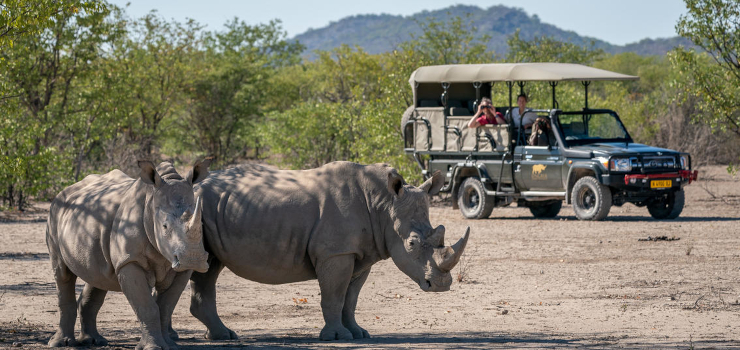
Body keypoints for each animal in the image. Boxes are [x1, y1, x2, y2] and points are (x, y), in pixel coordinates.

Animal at [45, 160, 211, 348]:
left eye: (201, 224)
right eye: (165, 226)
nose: (192, 259)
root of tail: (65, 190)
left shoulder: (181, 269)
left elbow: (166, 306)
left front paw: (170, 346)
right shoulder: (130, 261)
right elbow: (147, 307)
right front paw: (152, 347)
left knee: (98, 276)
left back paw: (94, 341)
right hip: (54, 213)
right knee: (63, 274)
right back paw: (60, 343)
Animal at [188, 163, 472, 340]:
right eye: (411, 244)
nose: (441, 285)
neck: (383, 205)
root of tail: (192, 185)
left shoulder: (359, 254)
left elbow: (351, 299)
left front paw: (358, 334)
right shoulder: (336, 253)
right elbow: (334, 295)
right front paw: (337, 336)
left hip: (210, 211)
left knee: (210, 267)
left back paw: (222, 336)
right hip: (194, 210)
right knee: (204, 267)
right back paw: (224, 335)